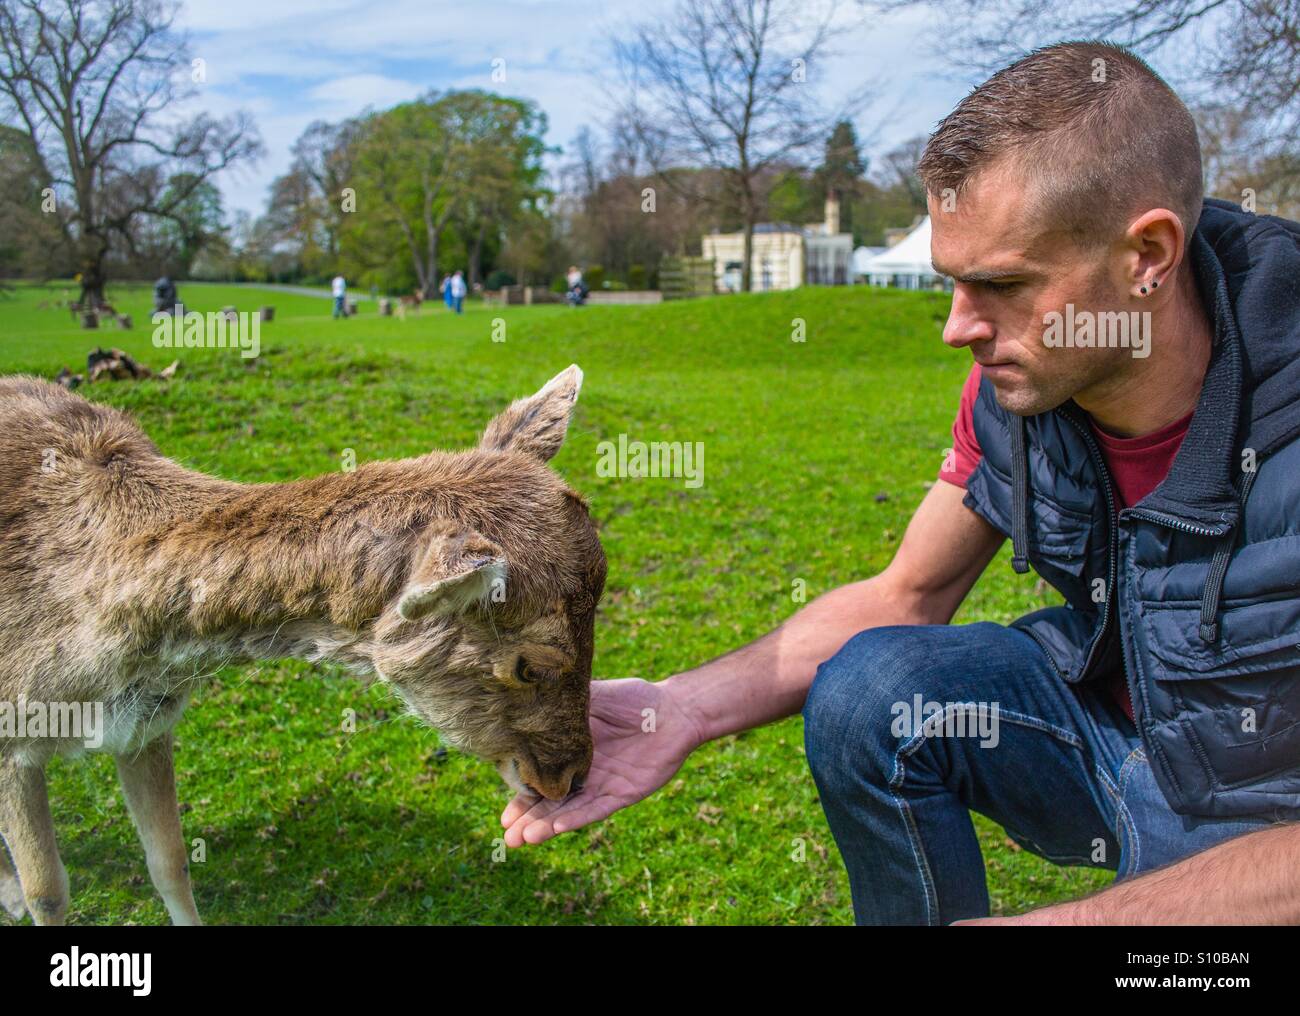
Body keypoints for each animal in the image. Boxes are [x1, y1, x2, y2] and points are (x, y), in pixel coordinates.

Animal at [0, 366, 605, 925]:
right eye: (529, 666)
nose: (572, 777)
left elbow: (170, 861)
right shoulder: (13, 738)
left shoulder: (146, 724)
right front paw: (27, 895)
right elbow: (49, 893)